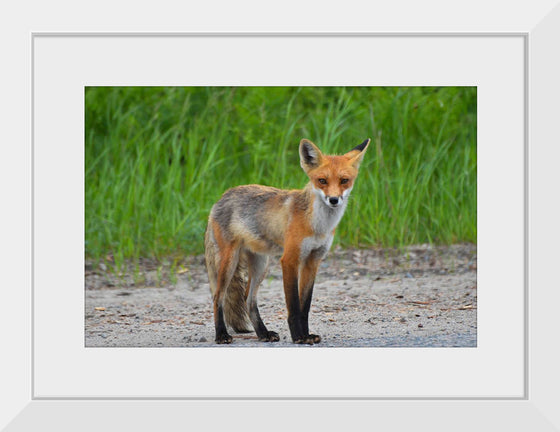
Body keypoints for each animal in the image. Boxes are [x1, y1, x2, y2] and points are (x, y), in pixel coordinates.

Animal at [203, 138, 370, 344]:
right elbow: (294, 306)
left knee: (248, 299)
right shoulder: (290, 259)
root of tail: (221, 198)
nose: (333, 200)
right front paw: (298, 336)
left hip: (261, 264)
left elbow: (305, 306)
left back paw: (263, 333)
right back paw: (222, 334)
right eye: (322, 181)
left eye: (344, 180)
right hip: (229, 261)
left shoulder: (313, 260)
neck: (317, 225)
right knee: (218, 296)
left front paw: (306, 335)